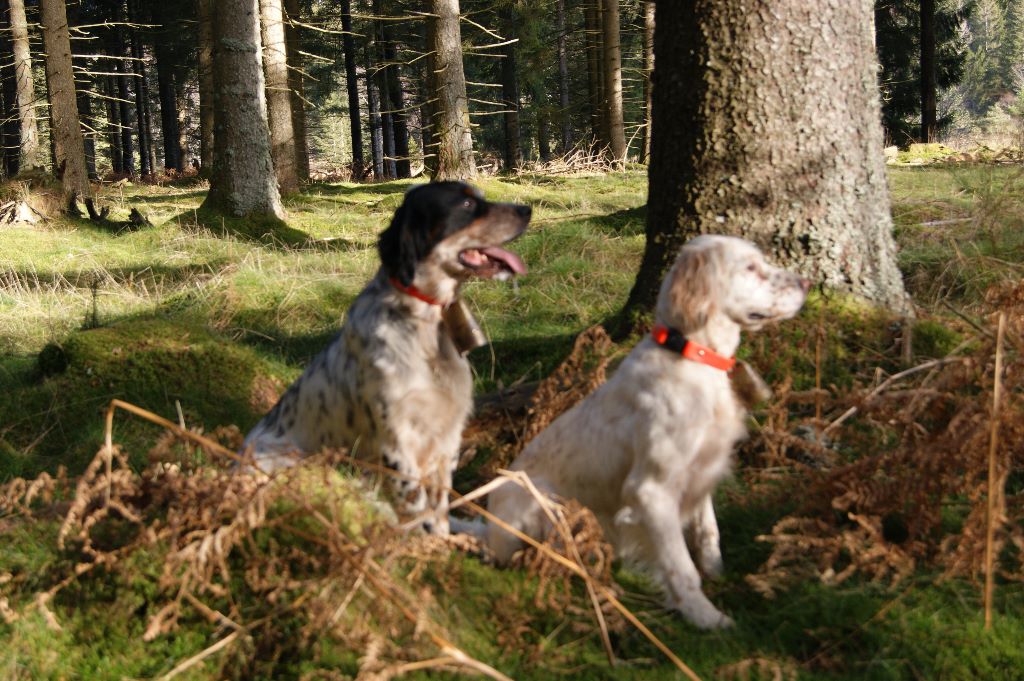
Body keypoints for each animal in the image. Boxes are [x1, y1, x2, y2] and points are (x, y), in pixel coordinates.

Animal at [485, 233, 806, 626]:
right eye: (750, 267)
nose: (807, 283)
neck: (690, 356)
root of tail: (486, 532)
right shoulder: (652, 491)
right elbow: (681, 566)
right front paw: (706, 617)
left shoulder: (702, 470)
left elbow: (708, 532)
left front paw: (718, 574)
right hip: (543, 498)